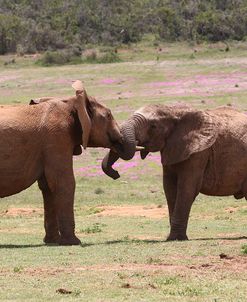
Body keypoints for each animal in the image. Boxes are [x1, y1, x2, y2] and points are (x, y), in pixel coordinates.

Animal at [0, 80, 127, 245]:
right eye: (109, 115)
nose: (116, 174)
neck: (71, 103)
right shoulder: (57, 137)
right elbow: (63, 182)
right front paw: (74, 242)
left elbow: (47, 186)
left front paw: (52, 242)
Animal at [101, 105, 247, 242]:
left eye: (153, 126)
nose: (115, 173)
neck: (174, 110)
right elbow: (169, 188)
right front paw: (173, 238)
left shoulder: (199, 152)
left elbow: (186, 188)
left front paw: (176, 238)